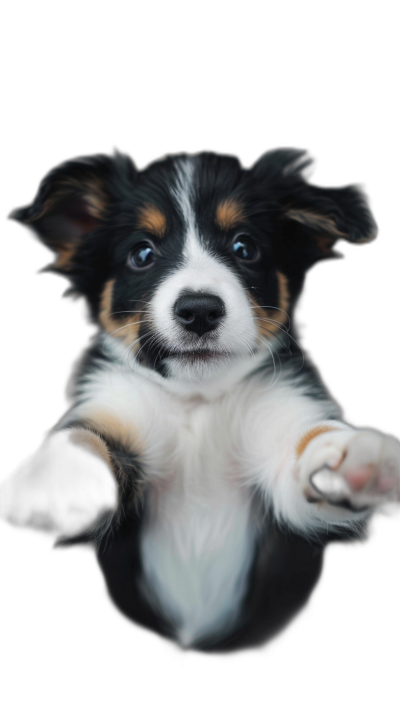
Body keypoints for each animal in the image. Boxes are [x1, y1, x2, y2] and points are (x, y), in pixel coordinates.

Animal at [3, 149, 400, 652]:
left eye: (245, 248)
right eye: (142, 254)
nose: (199, 310)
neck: (197, 403)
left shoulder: (283, 424)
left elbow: (306, 447)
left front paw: (352, 456)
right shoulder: (115, 413)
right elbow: (83, 441)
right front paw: (60, 478)